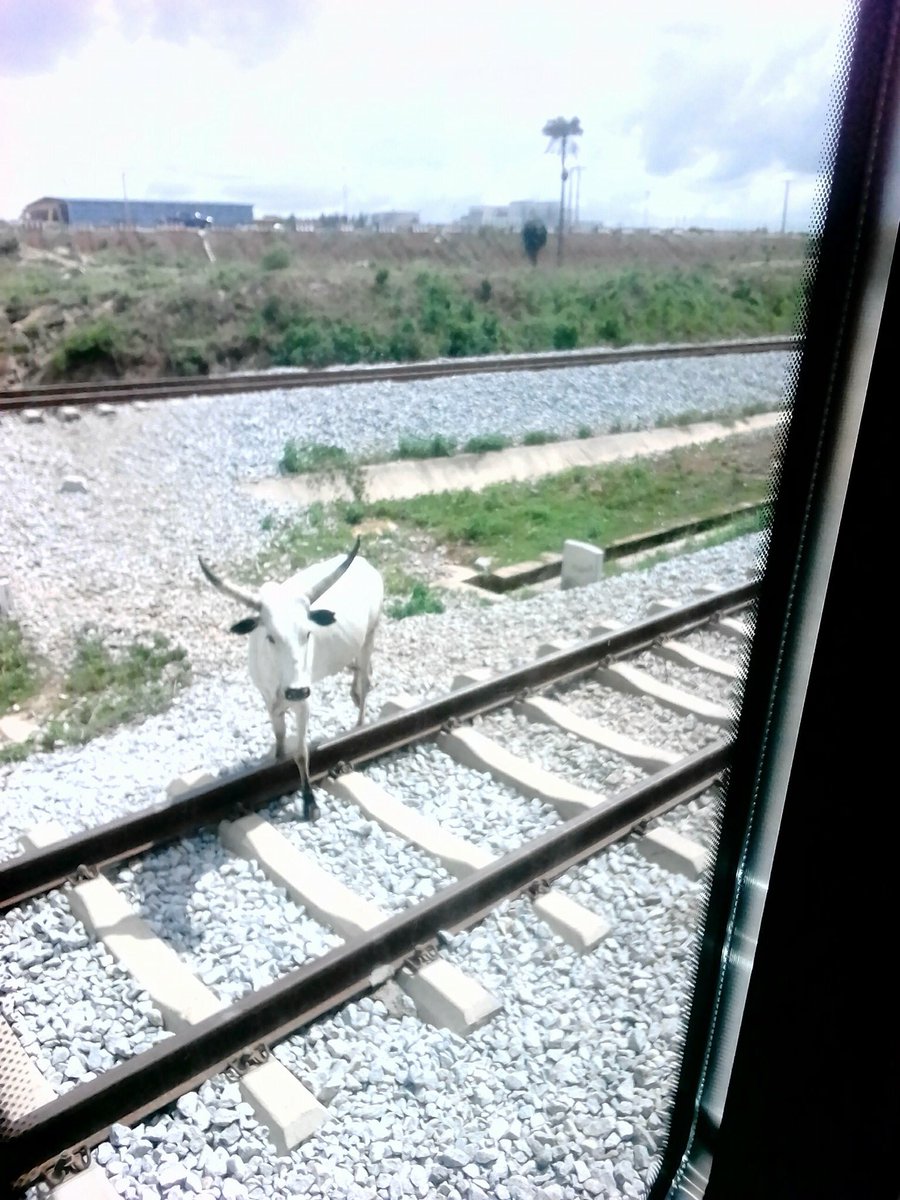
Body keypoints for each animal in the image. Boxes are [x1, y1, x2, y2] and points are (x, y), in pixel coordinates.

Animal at [198, 536, 383, 820]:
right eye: (270, 637)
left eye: (307, 633)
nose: (295, 691)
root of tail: (367, 565)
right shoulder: (268, 698)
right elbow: (280, 736)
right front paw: (276, 758)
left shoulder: (303, 701)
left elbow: (301, 752)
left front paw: (309, 802)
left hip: (370, 636)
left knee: (365, 682)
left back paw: (359, 722)